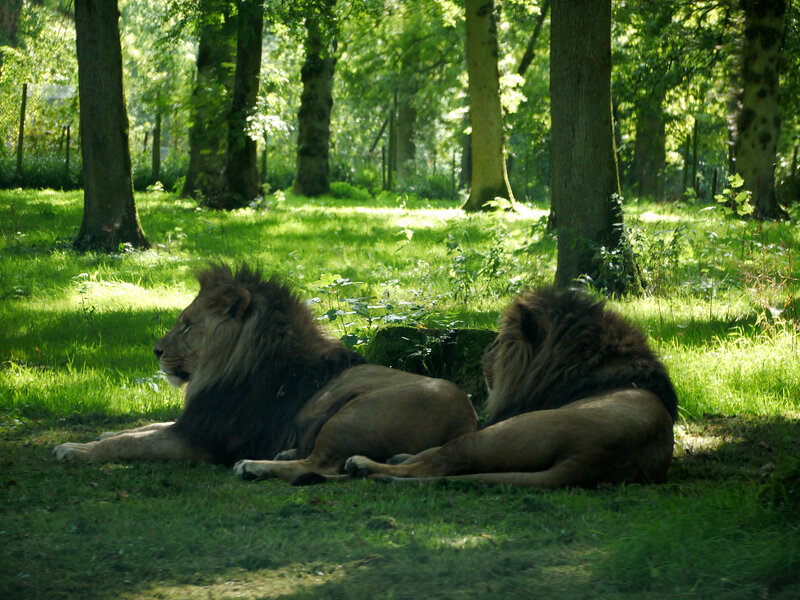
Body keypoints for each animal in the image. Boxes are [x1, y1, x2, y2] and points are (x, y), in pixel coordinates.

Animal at [53, 263, 479, 484]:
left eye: (187, 325)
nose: (156, 351)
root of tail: (468, 421)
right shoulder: (195, 420)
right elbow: (143, 428)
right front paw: (103, 434)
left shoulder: (202, 438)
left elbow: (130, 443)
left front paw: (75, 449)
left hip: (354, 412)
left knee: (322, 464)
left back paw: (255, 466)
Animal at [344, 287, 679, 488]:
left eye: (501, 340)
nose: (484, 351)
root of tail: (587, 460)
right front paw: (400, 455)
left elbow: (434, 450)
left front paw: (396, 458)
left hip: (503, 431)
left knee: (442, 462)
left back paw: (364, 465)